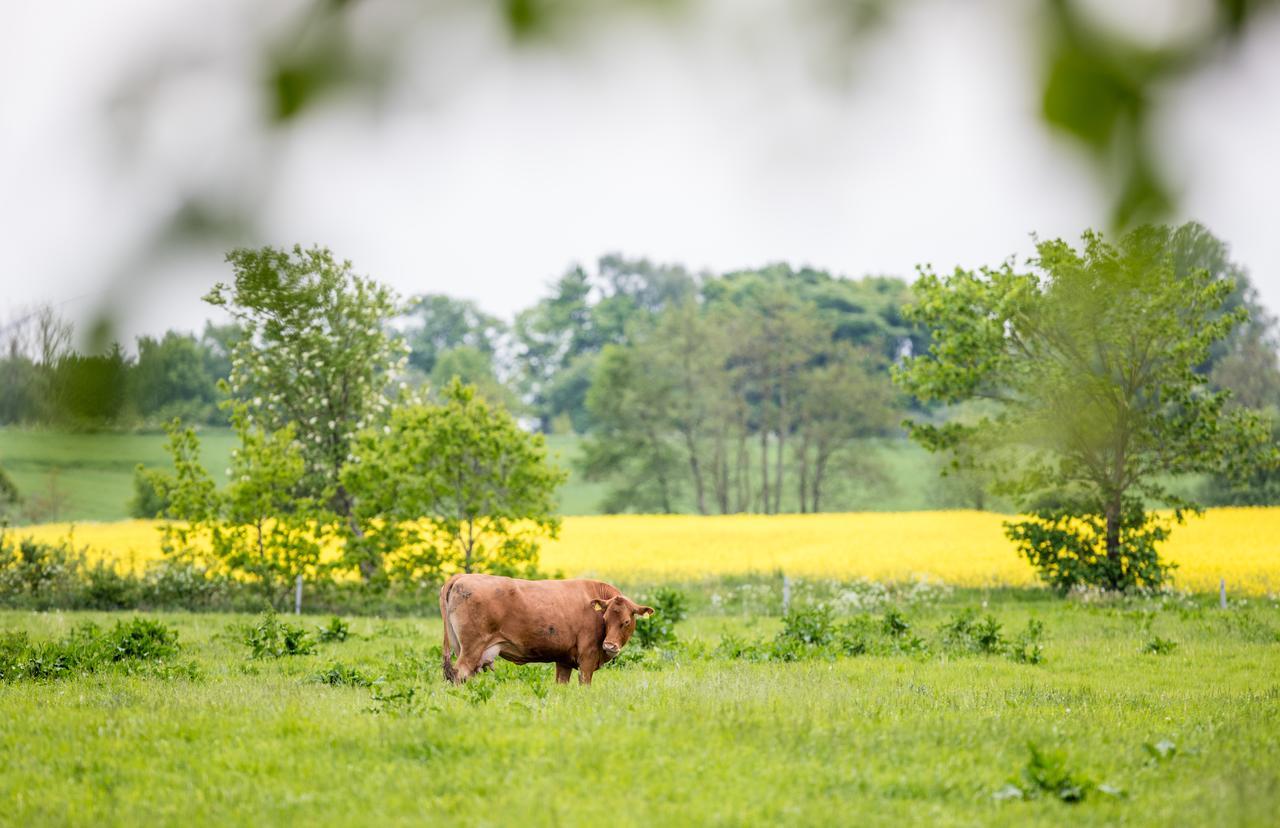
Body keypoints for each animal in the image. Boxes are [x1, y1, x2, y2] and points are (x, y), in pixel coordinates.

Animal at [440, 575, 655, 685]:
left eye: (626, 621)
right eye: (605, 619)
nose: (609, 645)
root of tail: (462, 576)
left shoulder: (564, 660)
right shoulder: (587, 658)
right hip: (471, 648)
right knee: (459, 674)